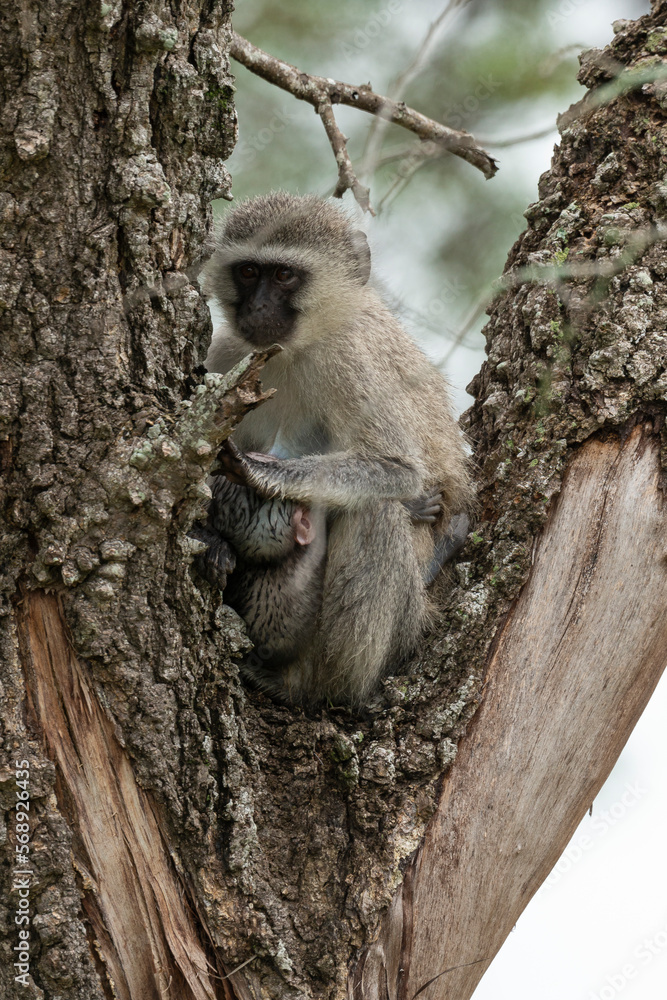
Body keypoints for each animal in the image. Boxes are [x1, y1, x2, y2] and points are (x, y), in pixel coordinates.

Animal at [200, 190, 471, 705]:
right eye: (249, 271)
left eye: (284, 275)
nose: (257, 307)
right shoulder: (226, 353)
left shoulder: (347, 360)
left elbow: (397, 468)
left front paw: (260, 472)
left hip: (402, 629)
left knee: (375, 509)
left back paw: (322, 687)